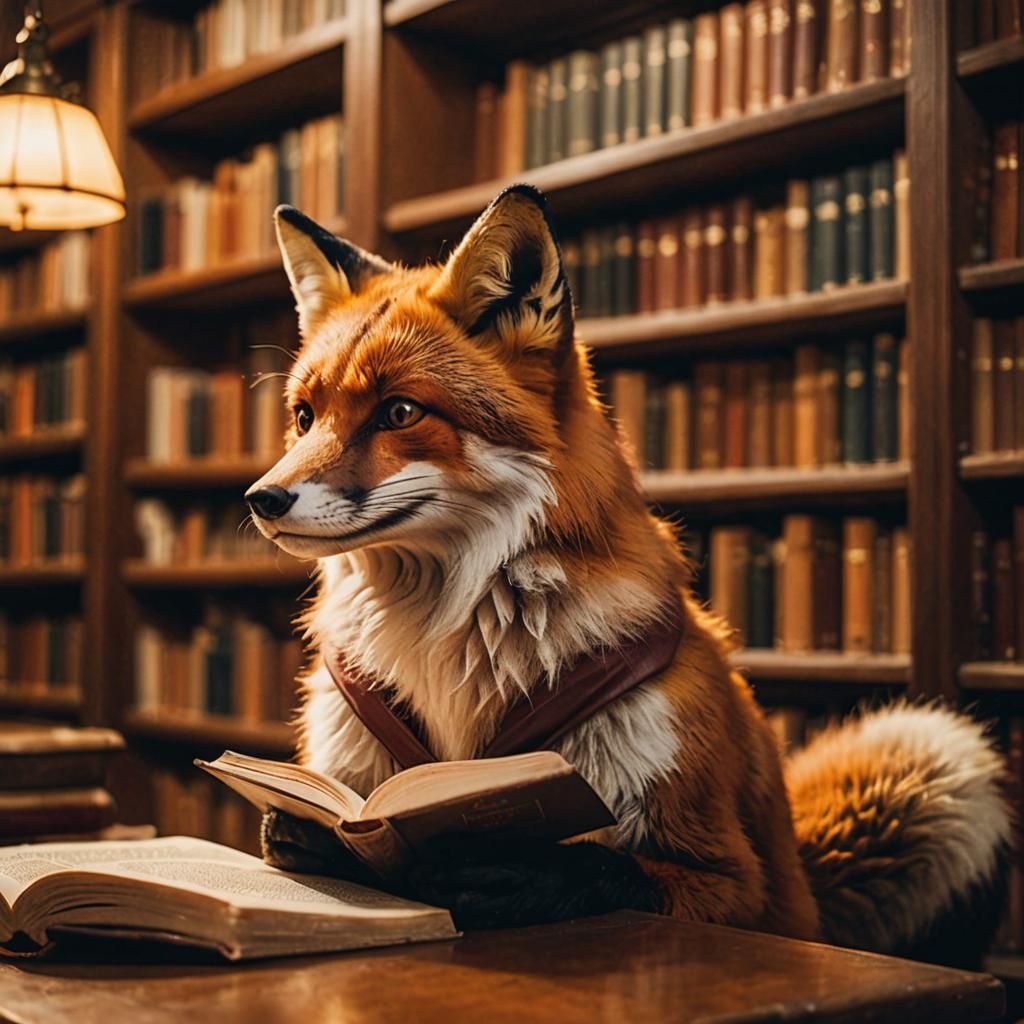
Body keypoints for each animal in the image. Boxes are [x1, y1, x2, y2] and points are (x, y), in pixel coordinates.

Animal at [246, 184, 1011, 968]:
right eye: (304, 417)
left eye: (399, 411)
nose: (261, 500)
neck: (450, 651)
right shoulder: (353, 780)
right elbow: (300, 833)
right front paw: (321, 841)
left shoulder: (729, 877)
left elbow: (601, 866)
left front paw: (512, 871)